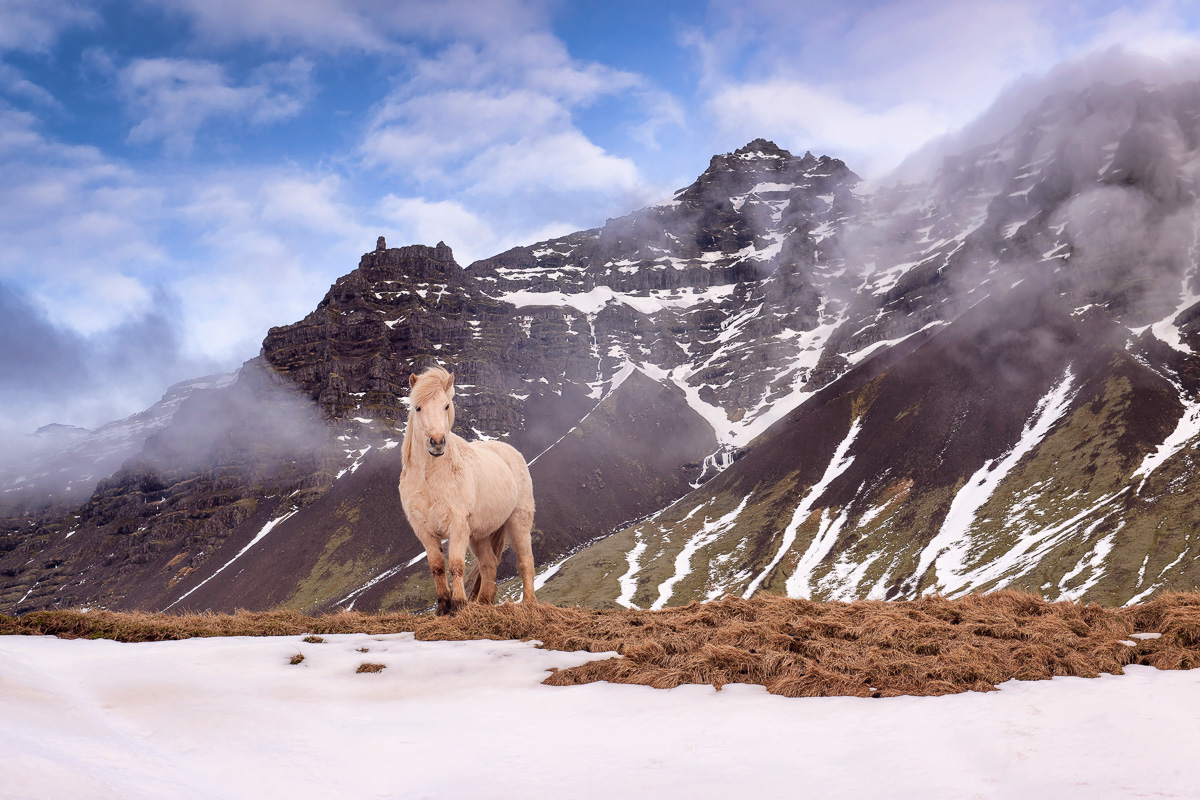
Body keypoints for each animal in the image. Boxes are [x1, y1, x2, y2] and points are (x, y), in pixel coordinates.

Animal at [398, 367, 540, 618]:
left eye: (446, 405)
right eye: (418, 407)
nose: (437, 442)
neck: (429, 477)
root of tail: (510, 452)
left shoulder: (457, 525)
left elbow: (456, 565)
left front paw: (458, 605)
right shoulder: (424, 530)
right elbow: (437, 567)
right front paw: (443, 606)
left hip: (518, 523)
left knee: (525, 562)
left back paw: (529, 604)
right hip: (480, 536)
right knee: (489, 564)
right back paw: (483, 603)